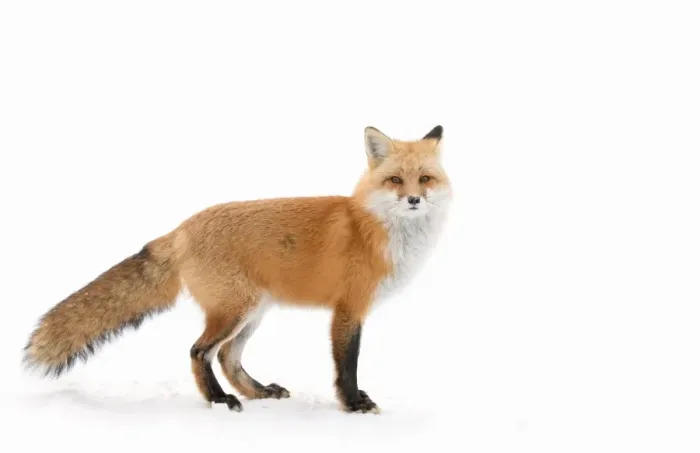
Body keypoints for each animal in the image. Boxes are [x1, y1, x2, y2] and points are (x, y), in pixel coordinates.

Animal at [22, 125, 452, 414]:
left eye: (425, 179)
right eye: (395, 180)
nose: (414, 199)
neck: (377, 230)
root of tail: (182, 228)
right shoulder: (348, 309)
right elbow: (346, 365)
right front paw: (353, 404)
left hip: (252, 312)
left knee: (228, 357)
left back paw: (258, 392)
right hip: (235, 310)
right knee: (199, 352)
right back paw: (219, 399)